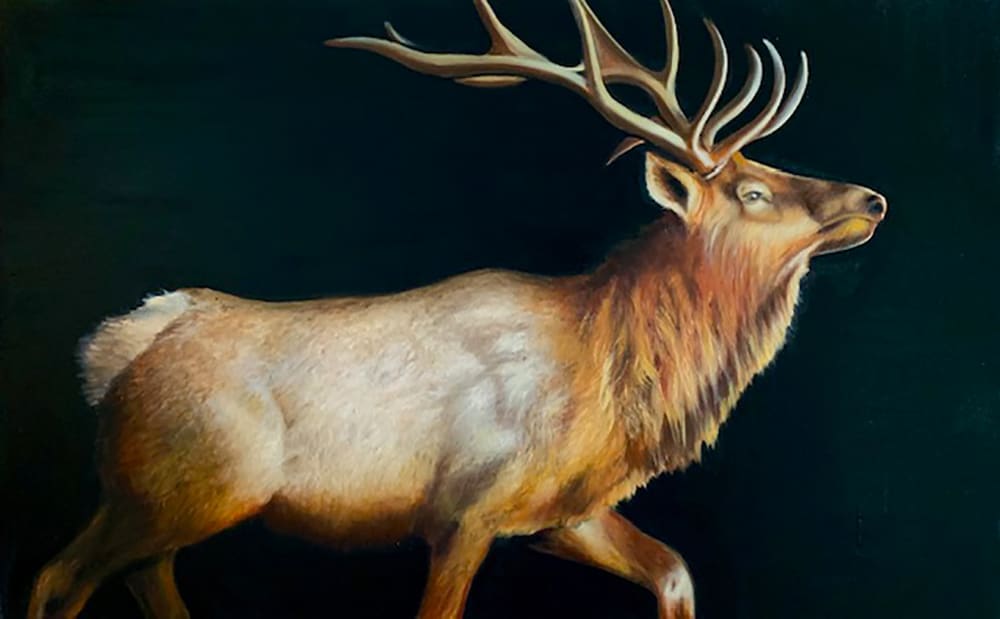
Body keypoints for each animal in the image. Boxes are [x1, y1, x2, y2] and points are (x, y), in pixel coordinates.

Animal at [27, 1, 887, 618]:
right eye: (753, 190)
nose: (871, 199)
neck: (610, 372)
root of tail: (115, 348)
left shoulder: (562, 512)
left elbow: (676, 571)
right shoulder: (466, 509)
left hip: (157, 497)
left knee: (139, 581)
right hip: (181, 485)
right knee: (57, 578)